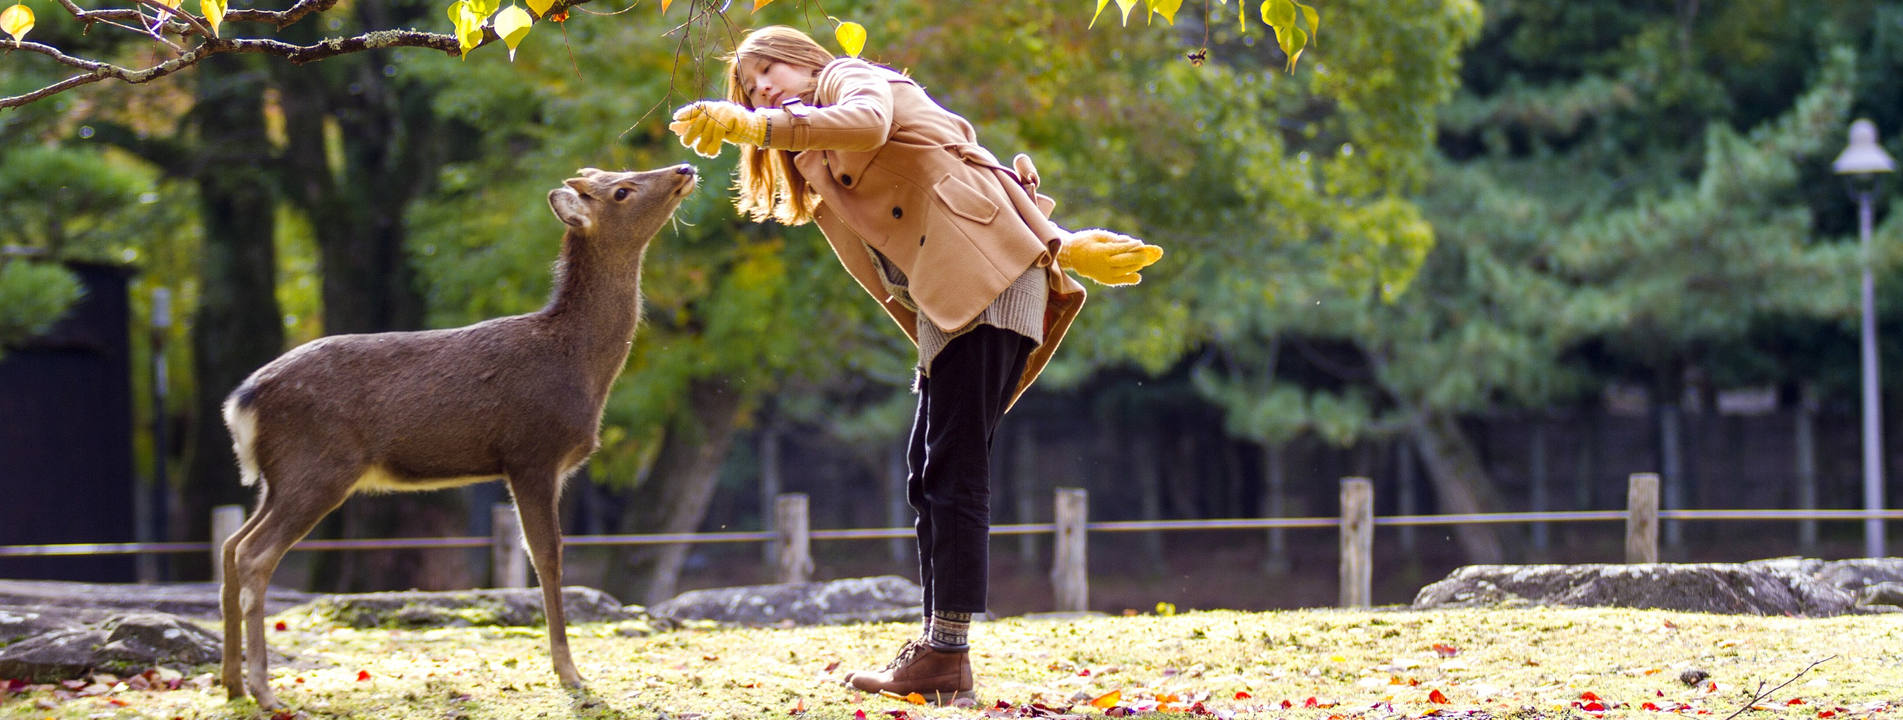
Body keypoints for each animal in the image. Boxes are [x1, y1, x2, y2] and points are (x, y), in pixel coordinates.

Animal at [220, 162, 700, 708]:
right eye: (621, 190)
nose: (685, 167)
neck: (581, 366)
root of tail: (241, 402)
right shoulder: (532, 452)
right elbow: (547, 557)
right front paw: (570, 674)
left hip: (277, 478)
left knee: (231, 546)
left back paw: (233, 683)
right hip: (319, 465)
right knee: (254, 555)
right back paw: (265, 691)